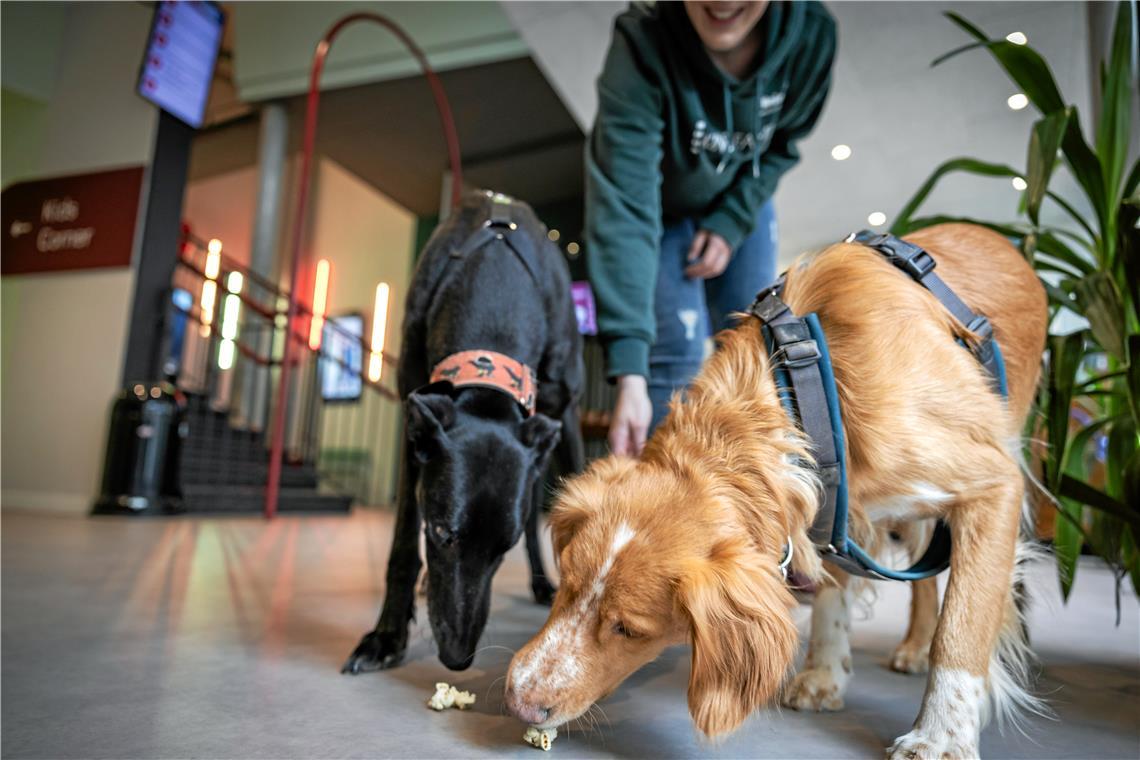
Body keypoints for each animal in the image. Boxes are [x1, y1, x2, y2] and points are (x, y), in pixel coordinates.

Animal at [342, 191, 583, 669]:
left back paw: (542, 582)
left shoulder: (563, 411)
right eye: (440, 533)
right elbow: (403, 542)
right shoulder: (413, 414)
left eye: (503, 548)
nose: (457, 659)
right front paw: (386, 637)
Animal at [508, 223, 1048, 756]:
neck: (805, 389)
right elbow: (833, 591)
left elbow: (962, 624)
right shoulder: (834, 506)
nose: (518, 701)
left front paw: (941, 734)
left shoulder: (995, 482)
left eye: (628, 629)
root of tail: (1000, 238)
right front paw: (824, 674)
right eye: (566, 584)